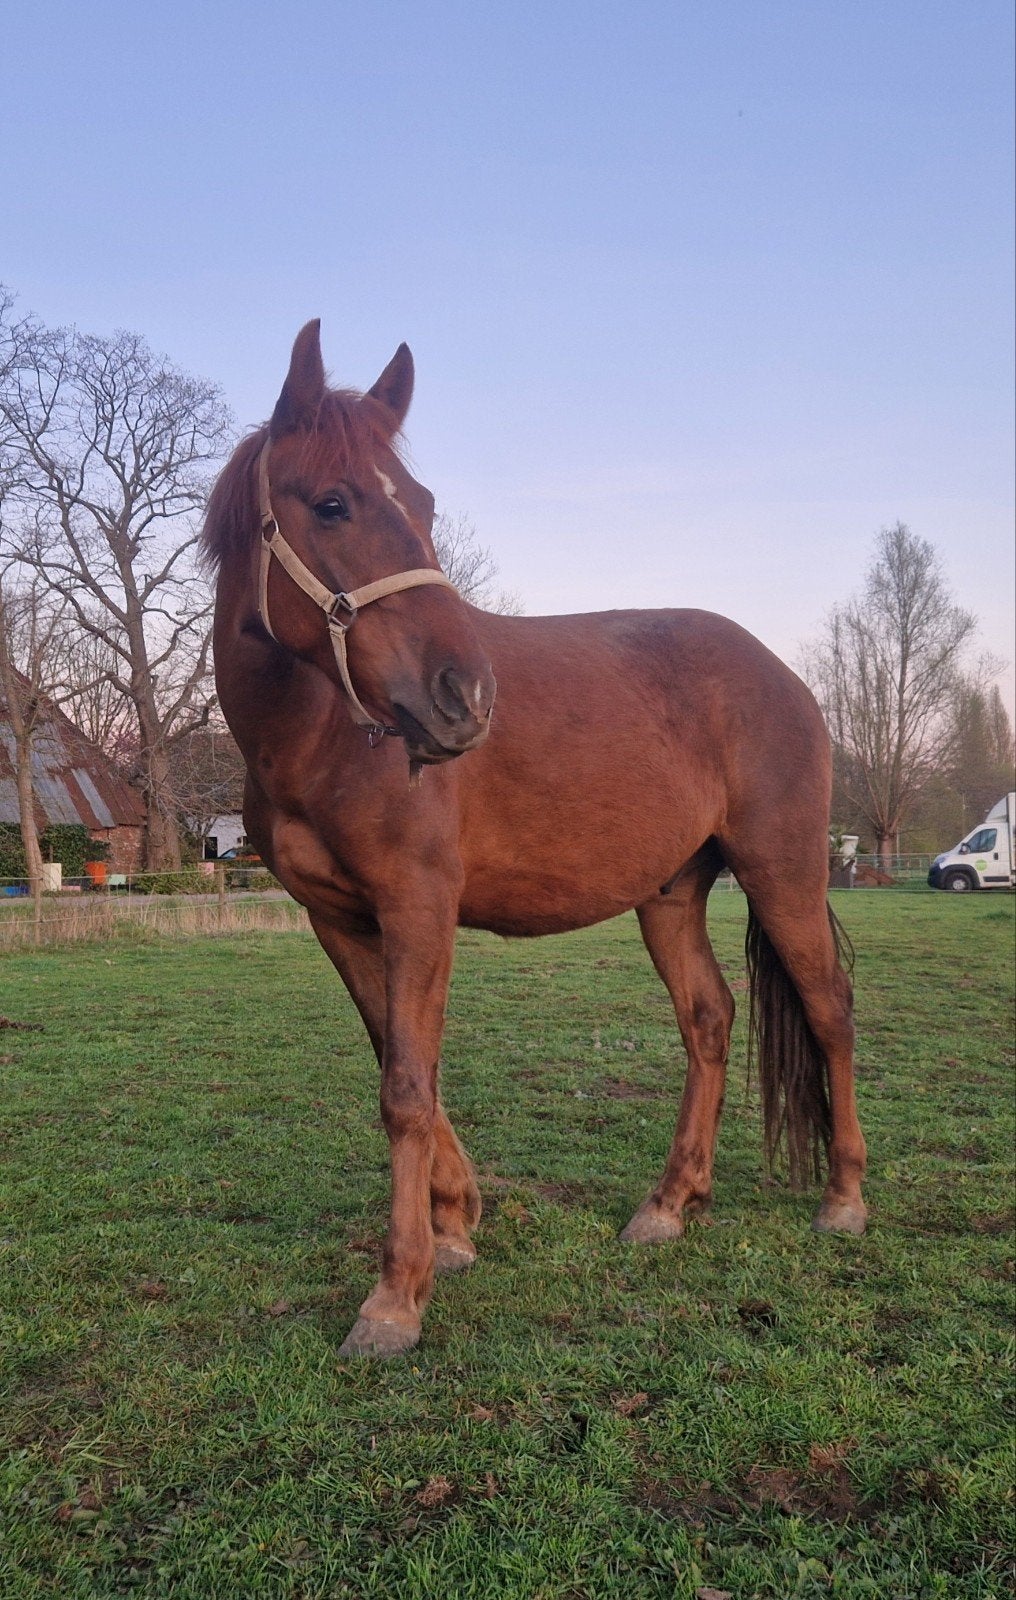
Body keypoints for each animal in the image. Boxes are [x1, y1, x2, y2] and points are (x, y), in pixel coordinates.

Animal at [203, 321, 867, 1358]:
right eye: (333, 502)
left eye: (423, 504)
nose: (465, 696)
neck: (318, 733)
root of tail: (782, 675)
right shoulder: (339, 920)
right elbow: (402, 1068)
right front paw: (455, 1224)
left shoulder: (418, 906)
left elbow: (405, 1086)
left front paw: (395, 1296)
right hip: (671, 893)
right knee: (709, 1019)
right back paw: (669, 1205)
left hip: (784, 873)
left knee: (830, 1008)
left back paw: (842, 1201)